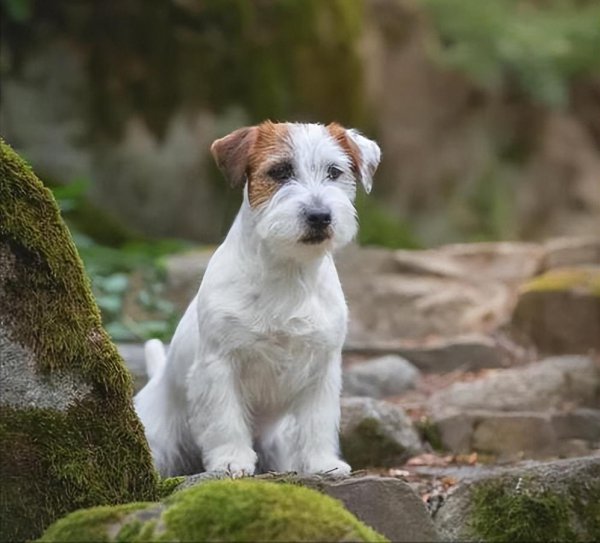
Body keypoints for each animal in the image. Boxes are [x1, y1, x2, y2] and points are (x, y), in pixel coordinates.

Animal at [135, 122, 380, 476]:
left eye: (334, 171)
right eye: (280, 171)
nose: (320, 215)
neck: (288, 273)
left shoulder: (322, 368)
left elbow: (318, 421)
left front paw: (322, 462)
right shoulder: (219, 366)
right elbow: (225, 420)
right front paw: (232, 460)